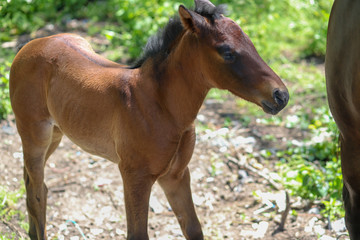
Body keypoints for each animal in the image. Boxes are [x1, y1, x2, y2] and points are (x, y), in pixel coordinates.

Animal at [9, 0, 290, 239]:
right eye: (227, 52)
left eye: (251, 43)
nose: (281, 95)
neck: (162, 106)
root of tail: (29, 45)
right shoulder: (135, 177)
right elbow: (137, 234)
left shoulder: (176, 175)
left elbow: (193, 229)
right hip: (33, 134)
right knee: (36, 192)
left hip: (56, 133)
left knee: (33, 184)